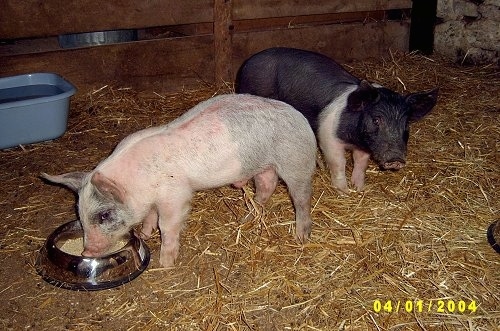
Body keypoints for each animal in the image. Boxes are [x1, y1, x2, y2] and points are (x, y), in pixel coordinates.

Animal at [43, 93, 316, 268]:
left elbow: (167, 225)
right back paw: (246, 217)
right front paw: (145, 234)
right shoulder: (152, 200)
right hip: (263, 166)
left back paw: (301, 237)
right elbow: (150, 217)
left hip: (296, 162)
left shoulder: (175, 195)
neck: (138, 184)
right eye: (79, 213)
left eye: (104, 215)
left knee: (301, 198)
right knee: (266, 185)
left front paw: (166, 263)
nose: (86, 250)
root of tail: (300, 117)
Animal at [236, 46, 440, 193]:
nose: (396, 159)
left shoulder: (364, 146)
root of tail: (248, 62)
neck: (353, 139)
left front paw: (359, 188)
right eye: (376, 120)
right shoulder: (328, 137)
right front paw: (344, 191)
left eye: (406, 124)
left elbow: (361, 163)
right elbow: (338, 163)